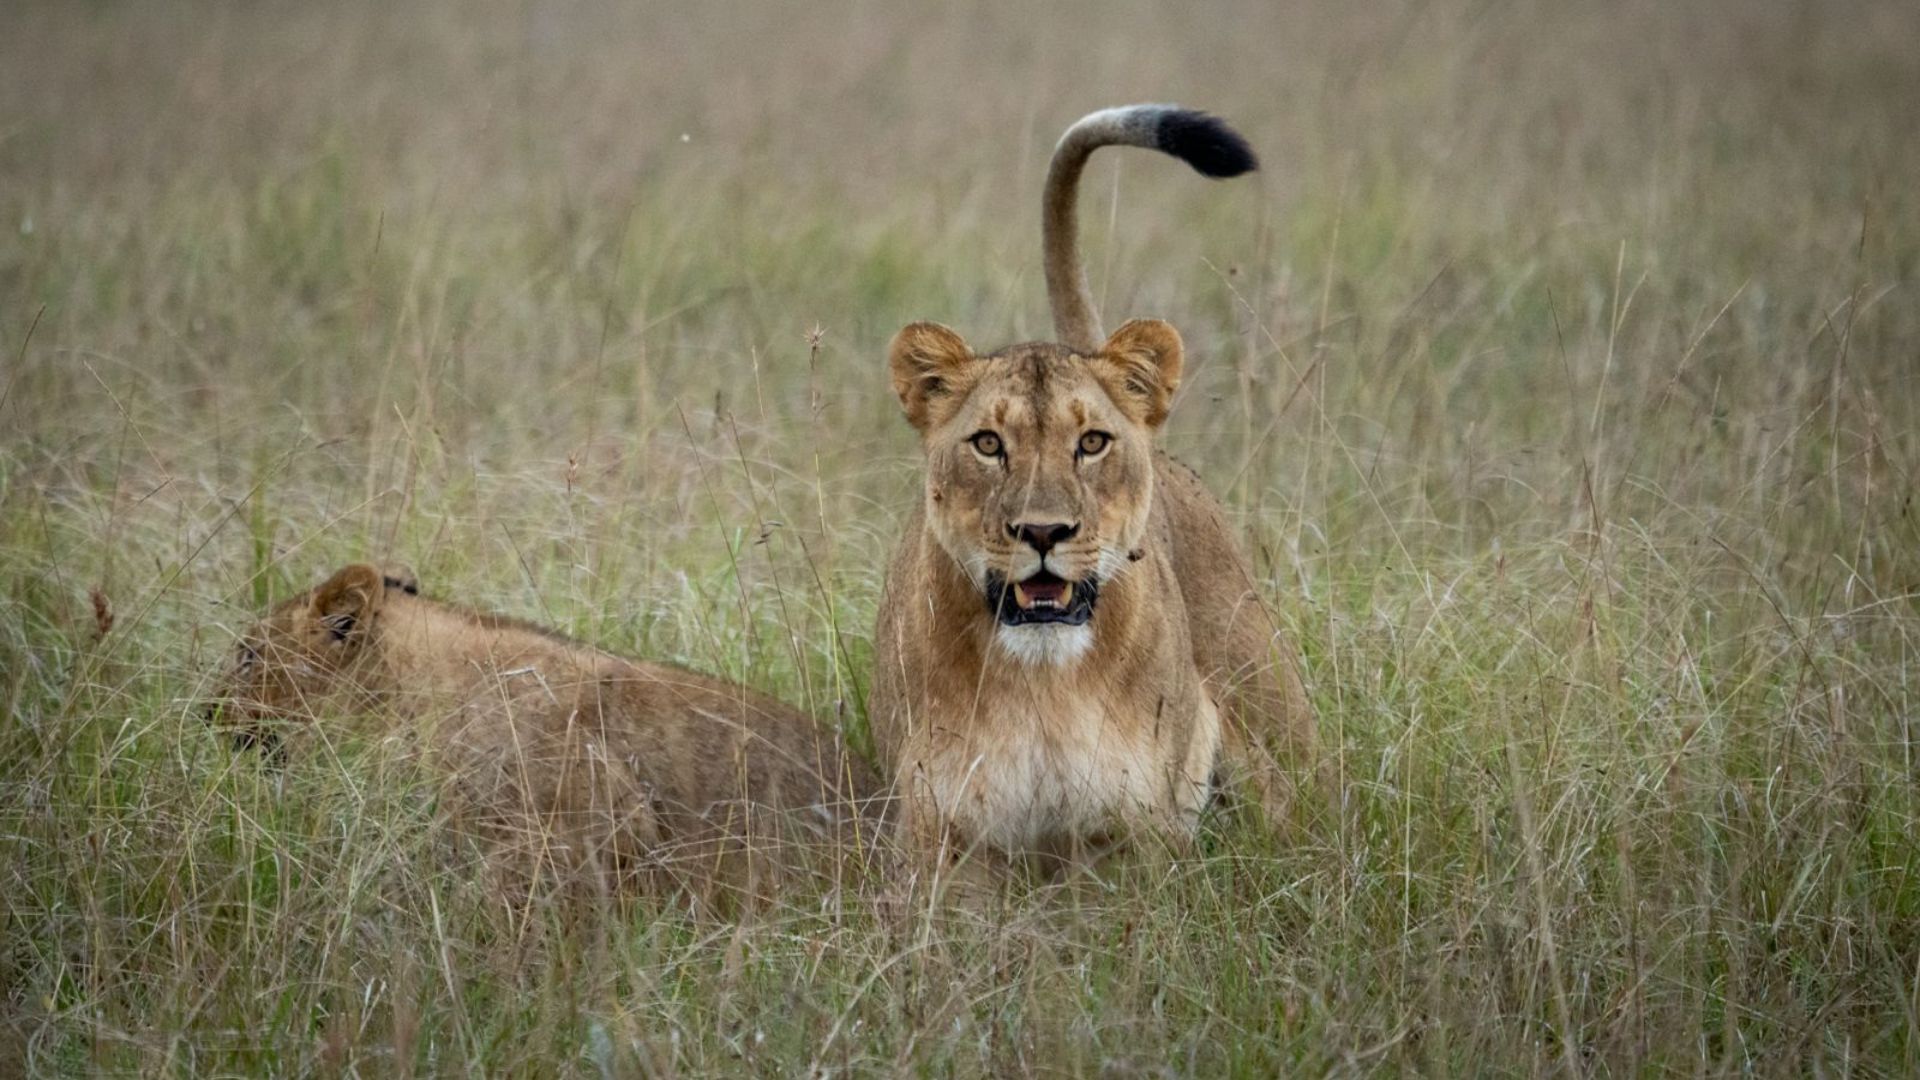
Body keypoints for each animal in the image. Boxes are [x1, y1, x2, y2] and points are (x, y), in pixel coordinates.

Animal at [869, 105, 1316, 880]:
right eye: (989, 444)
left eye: (1092, 443)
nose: (1044, 533)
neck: (1044, 684)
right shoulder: (937, 838)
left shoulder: (1144, 832)